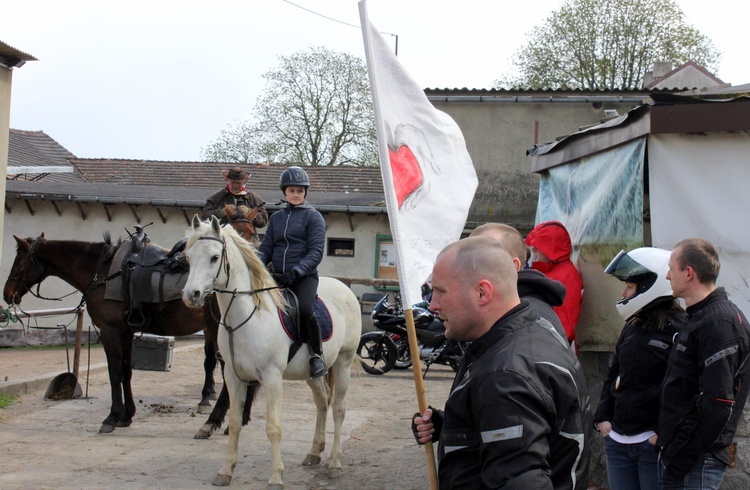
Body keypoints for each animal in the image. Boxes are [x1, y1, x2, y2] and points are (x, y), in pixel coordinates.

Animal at [2, 231, 226, 432]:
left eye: (19, 262)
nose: (7, 293)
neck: (102, 272)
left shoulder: (110, 331)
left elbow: (115, 372)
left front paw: (112, 416)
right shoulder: (126, 333)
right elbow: (126, 371)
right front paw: (127, 415)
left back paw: (213, 421)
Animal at [184, 216, 362, 488]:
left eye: (215, 257)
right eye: (188, 257)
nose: (190, 296)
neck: (246, 316)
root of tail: (344, 288)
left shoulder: (271, 377)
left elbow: (273, 427)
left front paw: (276, 476)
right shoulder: (233, 377)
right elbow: (234, 423)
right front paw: (225, 471)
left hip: (344, 362)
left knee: (338, 409)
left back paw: (334, 464)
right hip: (312, 372)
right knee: (322, 402)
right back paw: (314, 453)